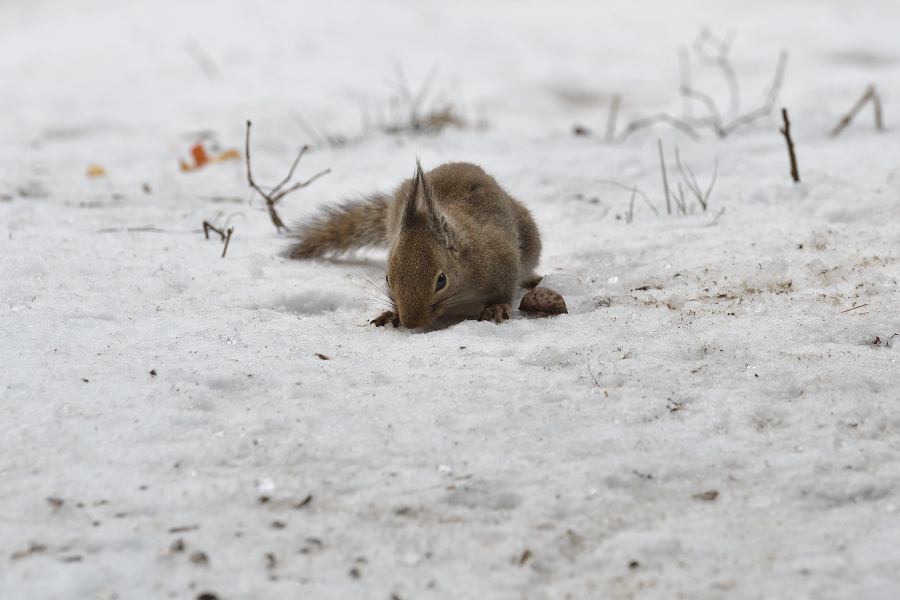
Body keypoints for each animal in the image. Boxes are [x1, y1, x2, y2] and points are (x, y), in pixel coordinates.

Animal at [288, 161, 540, 328]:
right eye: (387, 278)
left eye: (441, 280)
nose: (410, 323)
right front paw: (391, 315)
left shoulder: (501, 260)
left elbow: (504, 291)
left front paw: (496, 308)